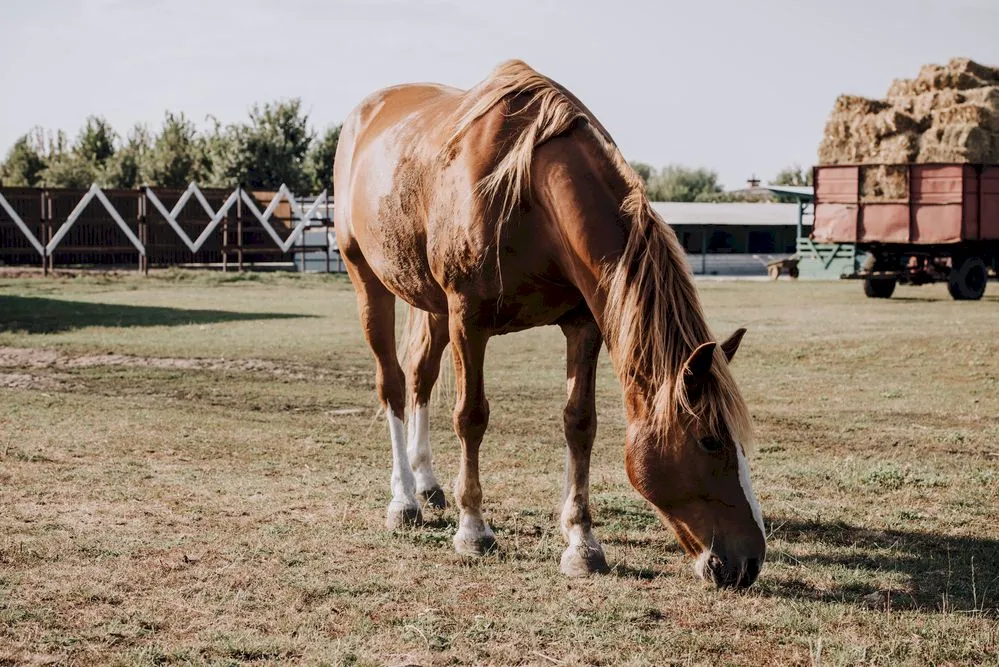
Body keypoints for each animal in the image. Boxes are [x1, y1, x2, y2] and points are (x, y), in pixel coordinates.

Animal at [334, 60, 764, 588]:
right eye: (709, 440)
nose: (751, 562)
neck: (528, 193)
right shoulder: (467, 319)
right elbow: (471, 417)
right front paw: (473, 530)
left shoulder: (583, 324)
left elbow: (580, 423)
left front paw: (582, 542)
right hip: (368, 281)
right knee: (392, 384)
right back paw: (404, 499)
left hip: (430, 304)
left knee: (419, 377)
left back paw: (428, 483)